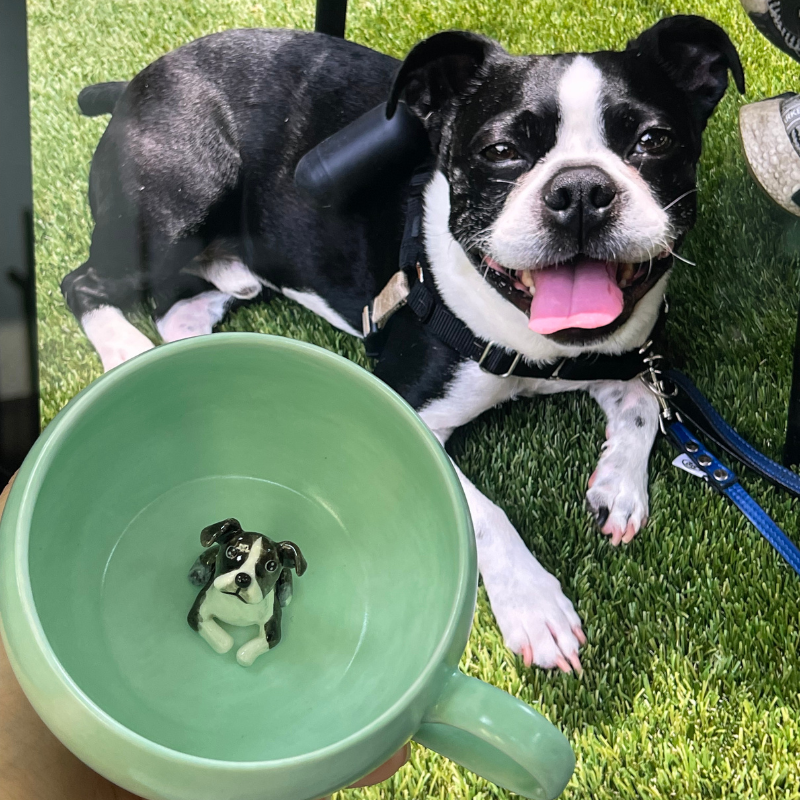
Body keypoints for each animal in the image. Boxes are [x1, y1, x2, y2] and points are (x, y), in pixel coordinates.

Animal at [62, 15, 744, 672]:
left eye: (653, 141)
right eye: (500, 151)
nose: (580, 190)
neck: (537, 346)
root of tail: (137, 80)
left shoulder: (625, 353)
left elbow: (644, 402)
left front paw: (618, 488)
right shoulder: (410, 404)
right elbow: (483, 513)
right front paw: (534, 607)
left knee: (173, 308)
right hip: (181, 196)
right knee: (85, 282)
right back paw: (127, 353)